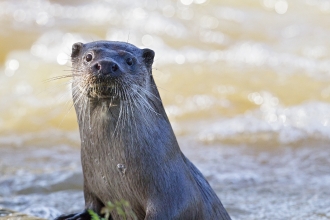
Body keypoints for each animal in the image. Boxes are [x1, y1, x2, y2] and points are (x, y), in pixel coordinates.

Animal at [55, 41, 231, 220]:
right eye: (88, 57)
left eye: (129, 60)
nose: (105, 65)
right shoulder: (91, 189)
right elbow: (90, 208)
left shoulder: (175, 196)